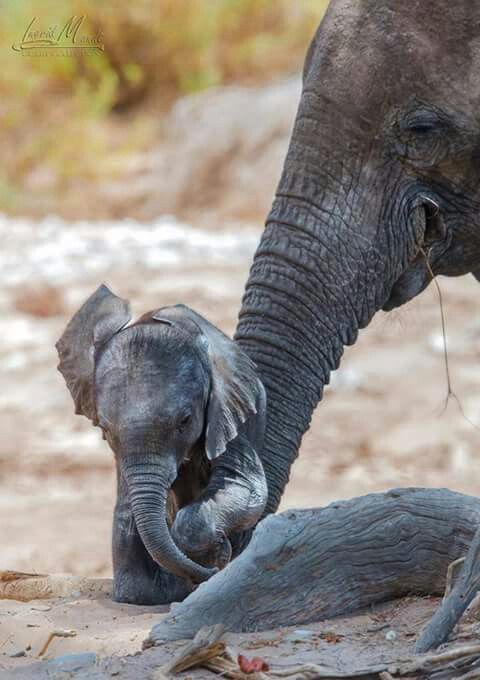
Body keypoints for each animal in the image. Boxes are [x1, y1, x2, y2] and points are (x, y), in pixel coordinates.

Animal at [56, 284, 268, 604]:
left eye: (185, 421)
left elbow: (248, 485)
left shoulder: (229, 412)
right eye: (105, 429)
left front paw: (215, 554)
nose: (218, 566)